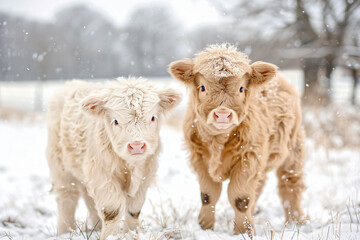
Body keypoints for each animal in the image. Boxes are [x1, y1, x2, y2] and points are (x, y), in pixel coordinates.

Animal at [46, 78, 181, 239]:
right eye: (116, 121)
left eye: (153, 117)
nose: (136, 146)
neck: (130, 165)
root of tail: (73, 82)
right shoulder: (101, 174)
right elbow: (112, 210)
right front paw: (109, 236)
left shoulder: (146, 174)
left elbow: (134, 209)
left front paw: (131, 233)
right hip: (60, 166)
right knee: (67, 198)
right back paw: (65, 231)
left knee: (89, 199)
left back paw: (96, 227)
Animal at [170, 44, 306, 236]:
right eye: (203, 87)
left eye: (241, 88)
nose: (222, 114)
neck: (218, 141)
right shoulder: (199, 157)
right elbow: (208, 195)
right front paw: (205, 226)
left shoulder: (249, 157)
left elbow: (240, 198)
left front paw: (243, 230)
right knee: (260, 185)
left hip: (293, 149)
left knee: (290, 184)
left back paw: (296, 221)